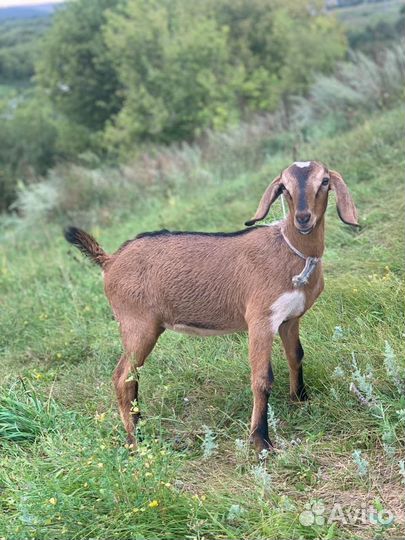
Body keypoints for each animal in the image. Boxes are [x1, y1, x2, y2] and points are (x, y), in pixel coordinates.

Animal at [63, 160, 356, 452]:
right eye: (284, 187)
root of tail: (110, 261)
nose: (303, 218)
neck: (291, 252)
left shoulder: (289, 319)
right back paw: (136, 441)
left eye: (325, 181)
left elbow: (296, 356)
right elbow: (262, 378)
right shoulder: (260, 319)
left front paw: (301, 401)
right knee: (122, 376)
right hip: (137, 324)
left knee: (130, 377)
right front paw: (260, 441)